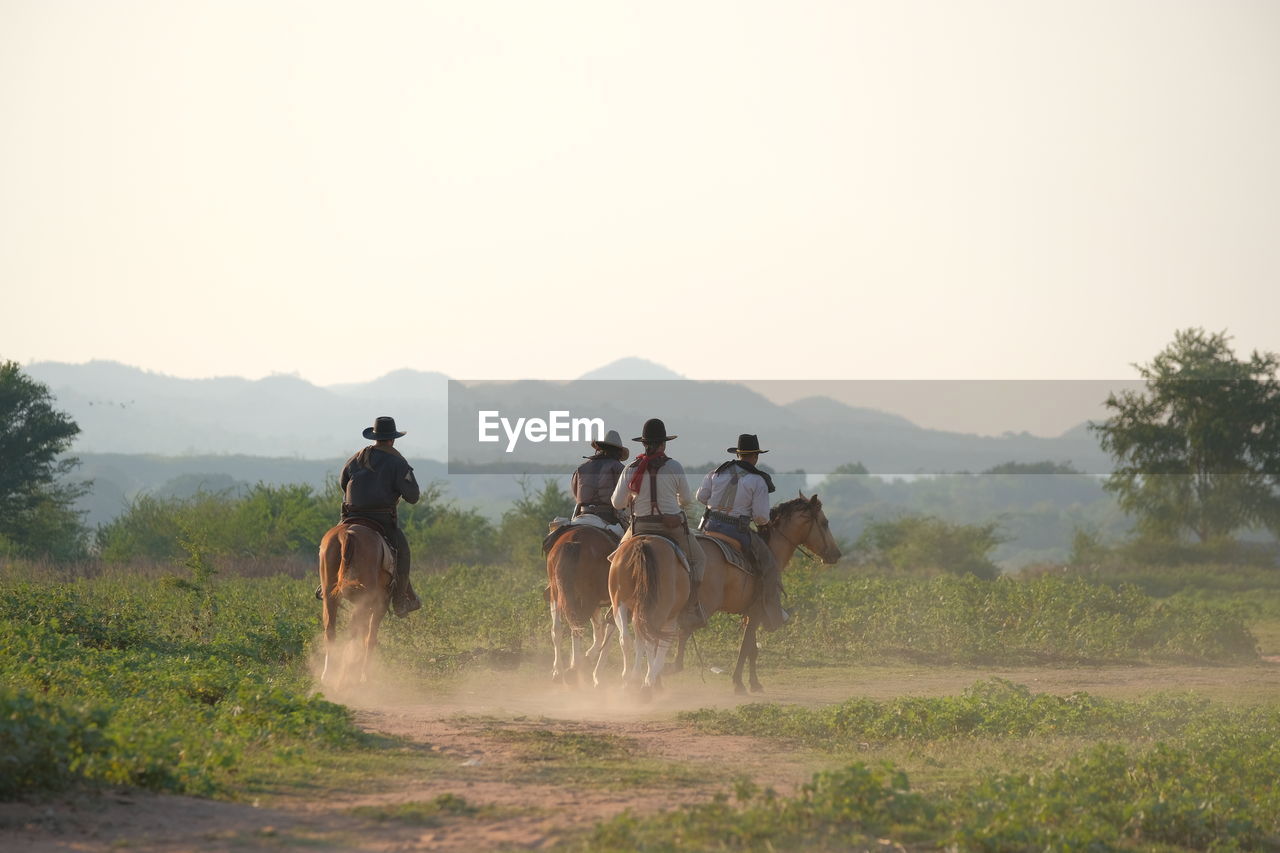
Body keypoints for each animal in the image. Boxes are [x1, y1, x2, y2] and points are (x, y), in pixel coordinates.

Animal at [316, 517, 394, 686]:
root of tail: (345, 533)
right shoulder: (380, 604)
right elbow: (370, 637)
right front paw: (366, 674)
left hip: (330, 594)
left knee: (331, 630)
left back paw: (329, 674)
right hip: (365, 600)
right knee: (353, 631)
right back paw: (347, 674)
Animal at [542, 525, 616, 686]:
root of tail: (574, 540)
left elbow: (599, 632)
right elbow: (605, 634)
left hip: (557, 593)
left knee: (558, 629)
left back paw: (559, 671)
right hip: (587, 598)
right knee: (578, 626)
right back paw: (574, 668)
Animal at [675, 491, 844, 691]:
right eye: (825, 522)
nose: (836, 554)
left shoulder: (751, 613)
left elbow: (752, 649)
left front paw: (753, 682)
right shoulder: (758, 611)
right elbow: (746, 647)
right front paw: (739, 683)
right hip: (703, 605)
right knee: (682, 631)